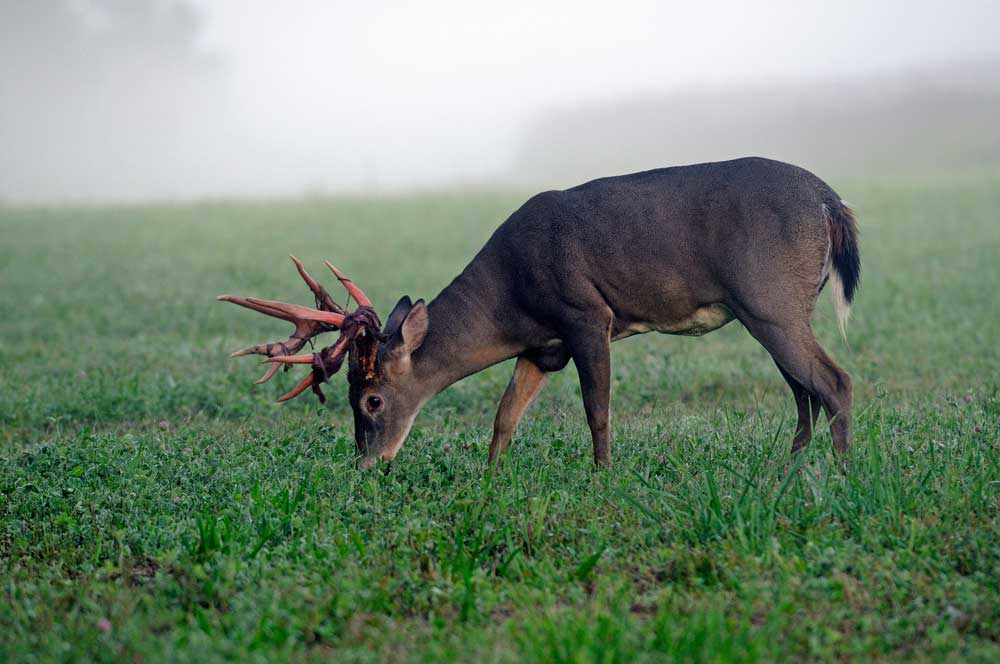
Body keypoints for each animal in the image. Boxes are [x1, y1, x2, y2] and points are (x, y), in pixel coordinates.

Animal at [219, 158, 860, 472]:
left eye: (372, 400)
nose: (366, 463)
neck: (512, 298)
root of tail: (832, 202)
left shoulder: (586, 315)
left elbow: (597, 410)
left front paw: (602, 479)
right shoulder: (541, 346)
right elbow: (505, 415)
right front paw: (490, 479)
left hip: (771, 298)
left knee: (834, 380)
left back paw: (841, 474)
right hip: (767, 310)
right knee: (803, 387)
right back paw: (790, 467)